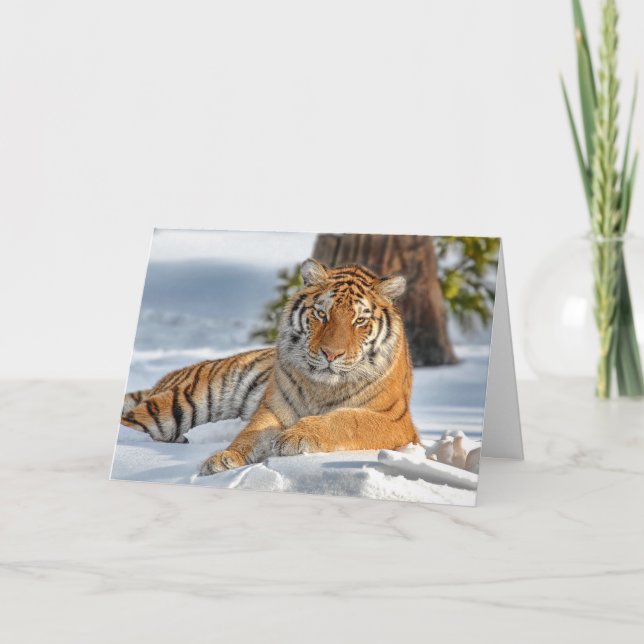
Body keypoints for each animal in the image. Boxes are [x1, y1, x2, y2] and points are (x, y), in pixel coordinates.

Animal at [121, 258, 420, 476]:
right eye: (321, 314)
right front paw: (225, 458)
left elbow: (347, 419)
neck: (323, 387)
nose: (330, 354)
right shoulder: (274, 407)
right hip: (175, 406)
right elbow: (250, 435)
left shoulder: (396, 422)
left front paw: (298, 436)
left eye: (359, 321)